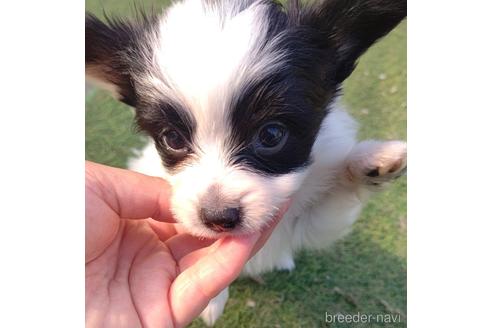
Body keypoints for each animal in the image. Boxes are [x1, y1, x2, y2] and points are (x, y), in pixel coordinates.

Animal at [85, 0, 408, 322]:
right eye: (172, 138)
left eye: (272, 134)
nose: (219, 217)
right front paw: (213, 299)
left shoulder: (315, 224)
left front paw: (371, 162)